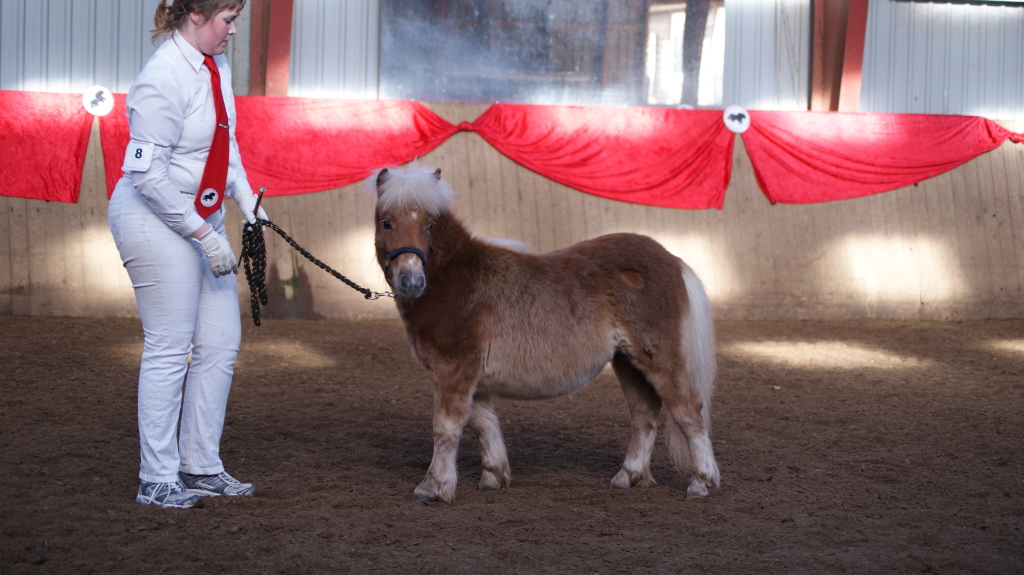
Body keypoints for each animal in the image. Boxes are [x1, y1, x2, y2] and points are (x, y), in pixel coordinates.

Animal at [372, 162, 716, 501]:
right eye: (386, 223)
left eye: (429, 224)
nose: (411, 281)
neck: (457, 280)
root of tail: (672, 260)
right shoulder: (472, 377)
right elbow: (483, 424)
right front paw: (493, 477)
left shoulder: (453, 371)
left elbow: (445, 427)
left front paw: (432, 487)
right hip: (627, 362)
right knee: (644, 414)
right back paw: (627, 476)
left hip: (659, 359)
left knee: (687, 409)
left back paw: (700, 483)